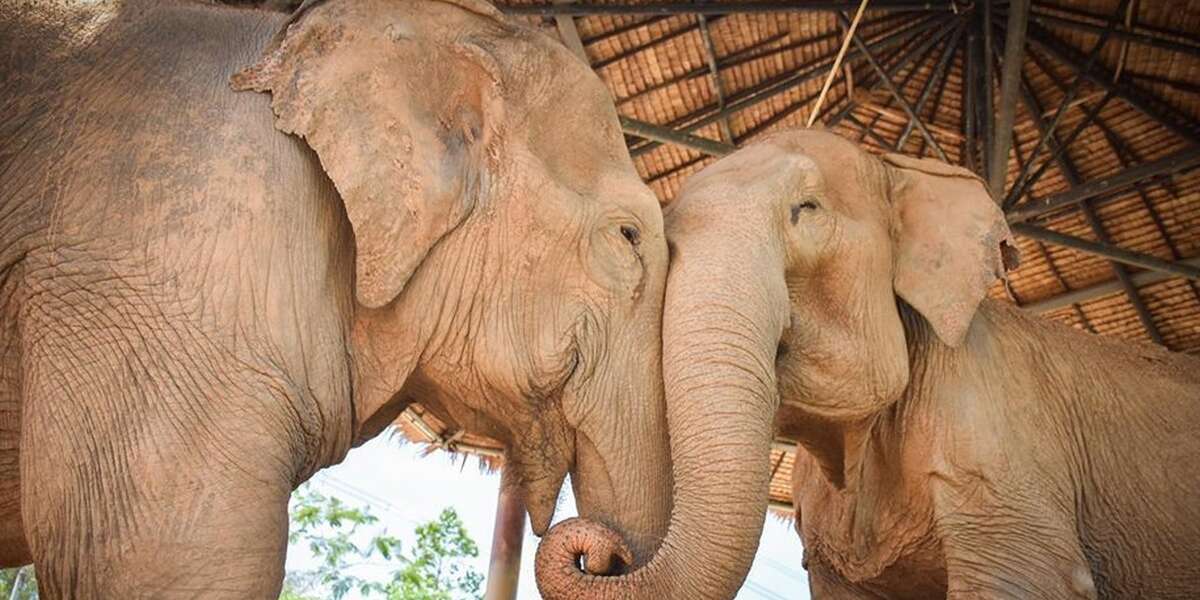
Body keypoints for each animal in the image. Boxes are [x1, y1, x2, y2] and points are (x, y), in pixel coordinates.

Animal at [540, 130, 1200, 600]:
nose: (602, 552)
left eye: (806, 208)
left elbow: (1030, 580)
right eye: (664, 238)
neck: (901, 168)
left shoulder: (1002, 447)